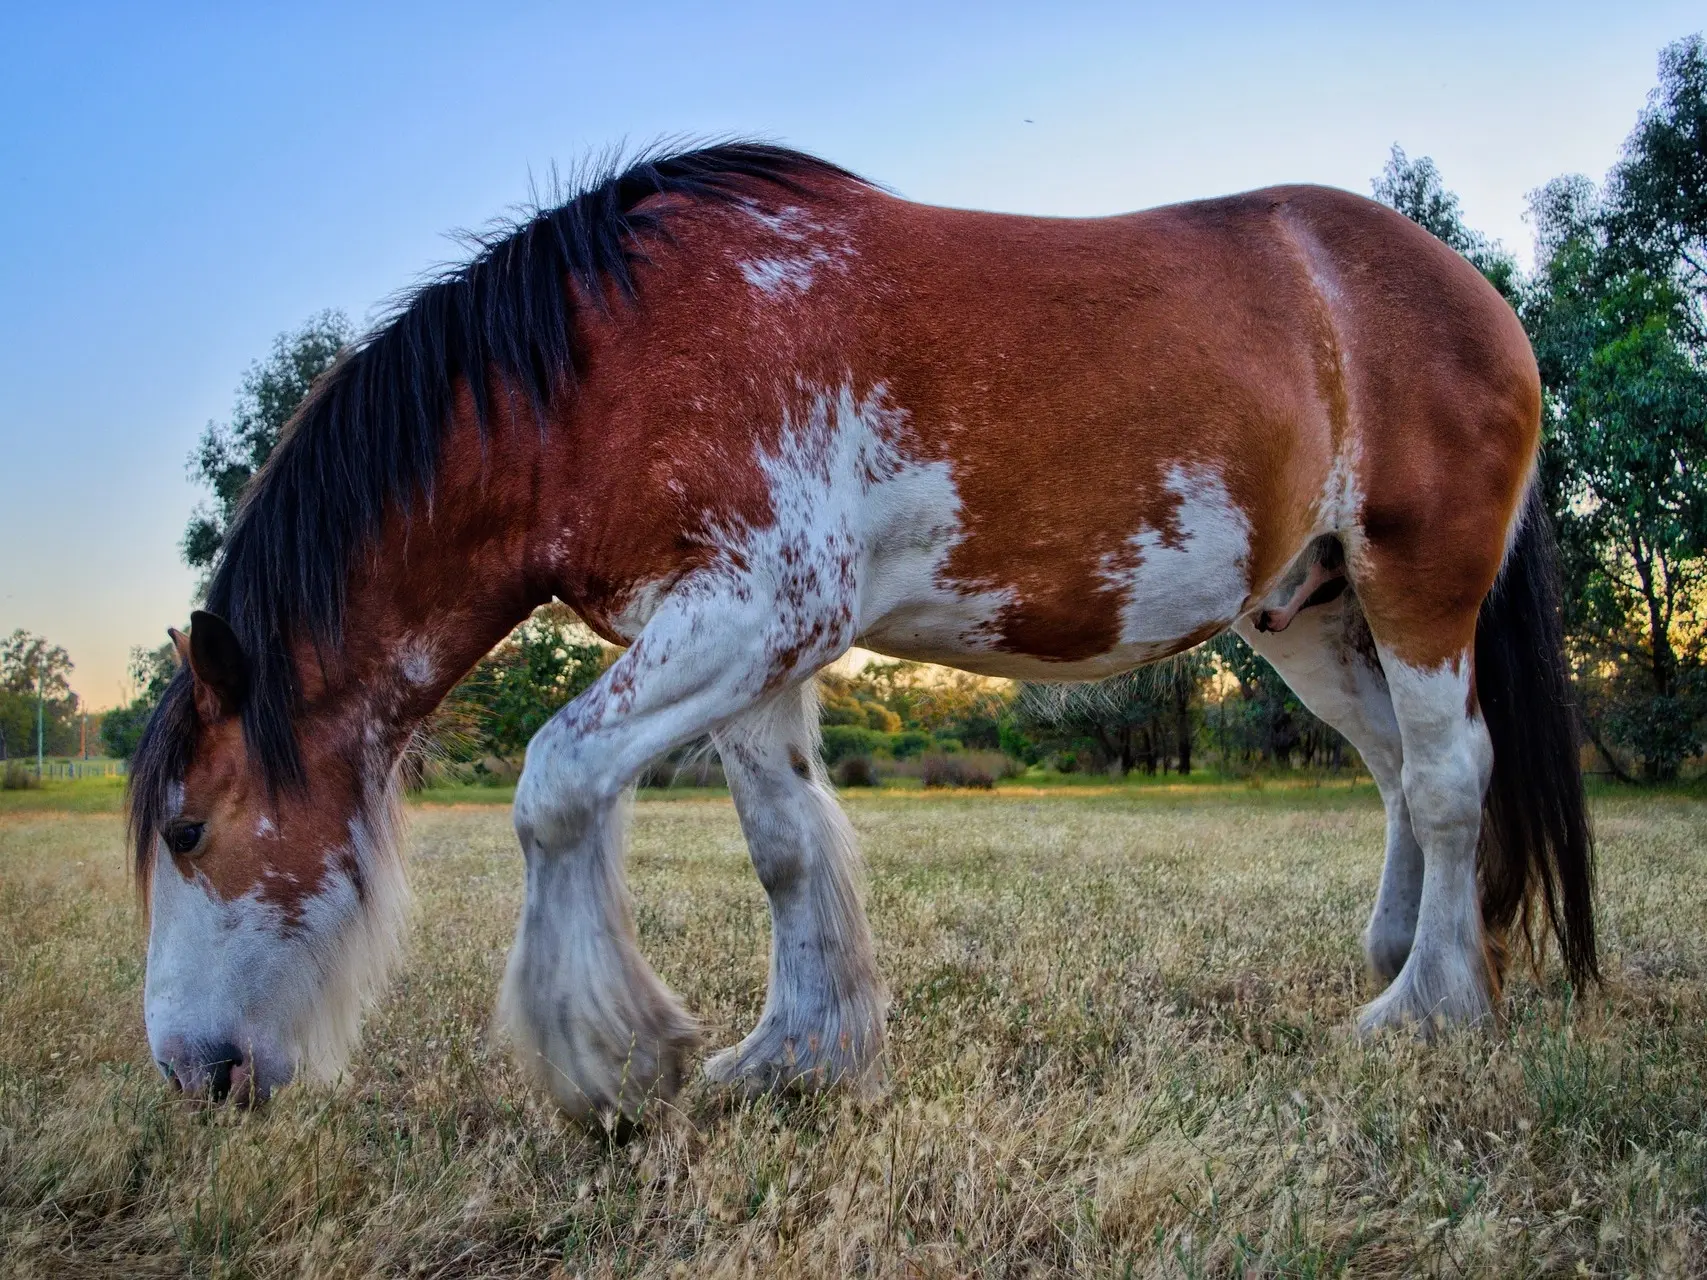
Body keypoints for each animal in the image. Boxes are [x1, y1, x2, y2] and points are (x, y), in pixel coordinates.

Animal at [126, 145, 1590, 1119]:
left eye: (189, 829)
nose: (194, 1073)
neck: (602, 366)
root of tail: (1473, 294)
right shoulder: (740, 641)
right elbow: (783, 845)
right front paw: (795, 1054)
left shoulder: (757, 609)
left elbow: (555, 785)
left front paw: (611, 1060)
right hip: (1309, 613)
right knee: (1397, 771)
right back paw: (1403, 956)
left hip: (1418, 584)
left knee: (1449, 775)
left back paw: (1426, 1010)